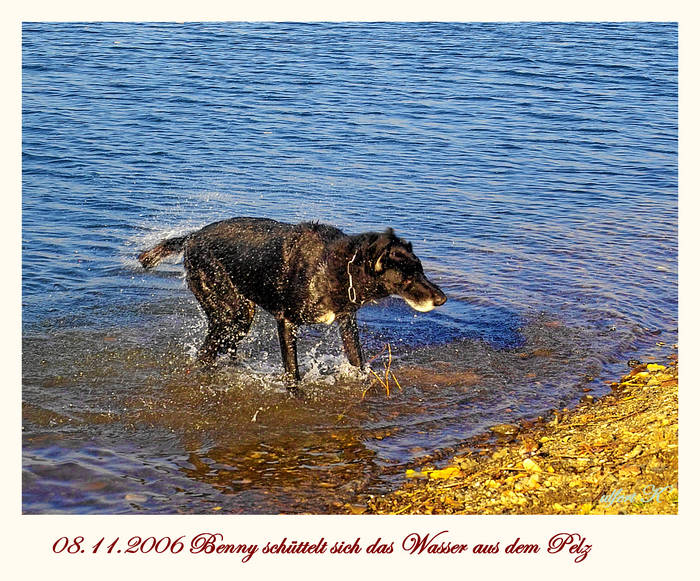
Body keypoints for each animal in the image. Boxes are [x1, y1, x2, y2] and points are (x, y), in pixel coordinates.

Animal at [139, 215, 446, 382]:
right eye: (408, 278)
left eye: (421, 269)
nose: (442, 299)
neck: (336, 265)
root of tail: (191, 237)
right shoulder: (286, 321)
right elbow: (293, 374)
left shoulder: (347, 321)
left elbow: (357, 360)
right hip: (230, 314)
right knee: (205, 354)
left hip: (239, 316)